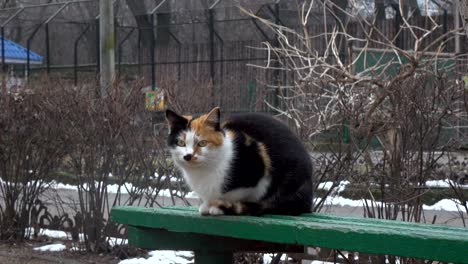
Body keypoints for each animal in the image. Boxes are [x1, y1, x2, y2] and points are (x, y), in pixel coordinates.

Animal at [165, 106, 314, 216]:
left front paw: (217, 206)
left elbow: (234, 195)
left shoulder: (256, 168)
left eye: (202, 143)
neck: (203, 171)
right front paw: (207, 205)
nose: (188, 156)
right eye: (180, 142)